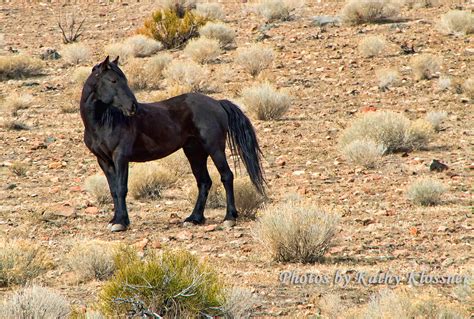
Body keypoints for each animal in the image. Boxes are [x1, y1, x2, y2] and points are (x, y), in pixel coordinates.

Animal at [82, 57, 266, 232]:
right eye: (113, 80)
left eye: (123, 80)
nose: (133, 106)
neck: (103, 123)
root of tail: (217, 103)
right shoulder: (104, 160)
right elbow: (113, 190)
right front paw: (116, 220)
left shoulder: (120, 157)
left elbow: (121, 188)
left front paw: (120, 222)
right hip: (195, 153)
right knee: (204, 182)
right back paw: (194, 218)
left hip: (215, 149)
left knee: (226, 176)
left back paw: (229, 218)